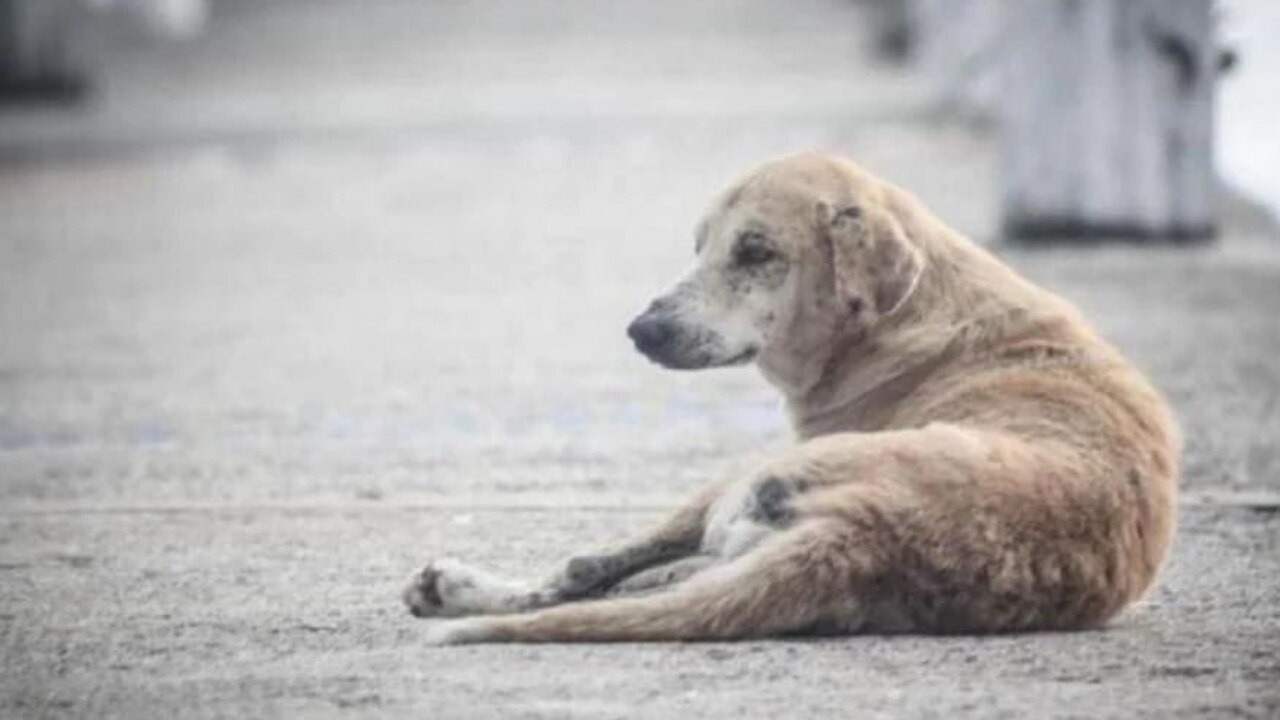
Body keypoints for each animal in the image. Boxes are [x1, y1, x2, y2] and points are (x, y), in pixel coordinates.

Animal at [399, 152, 1177, 645]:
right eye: (701, 246)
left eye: (756, 252)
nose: (641, 331)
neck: (907, 312)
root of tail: (863, 535)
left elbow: (592, 567)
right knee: (642, 585)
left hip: (742, 481)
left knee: (589, 576)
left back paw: (458, 589)